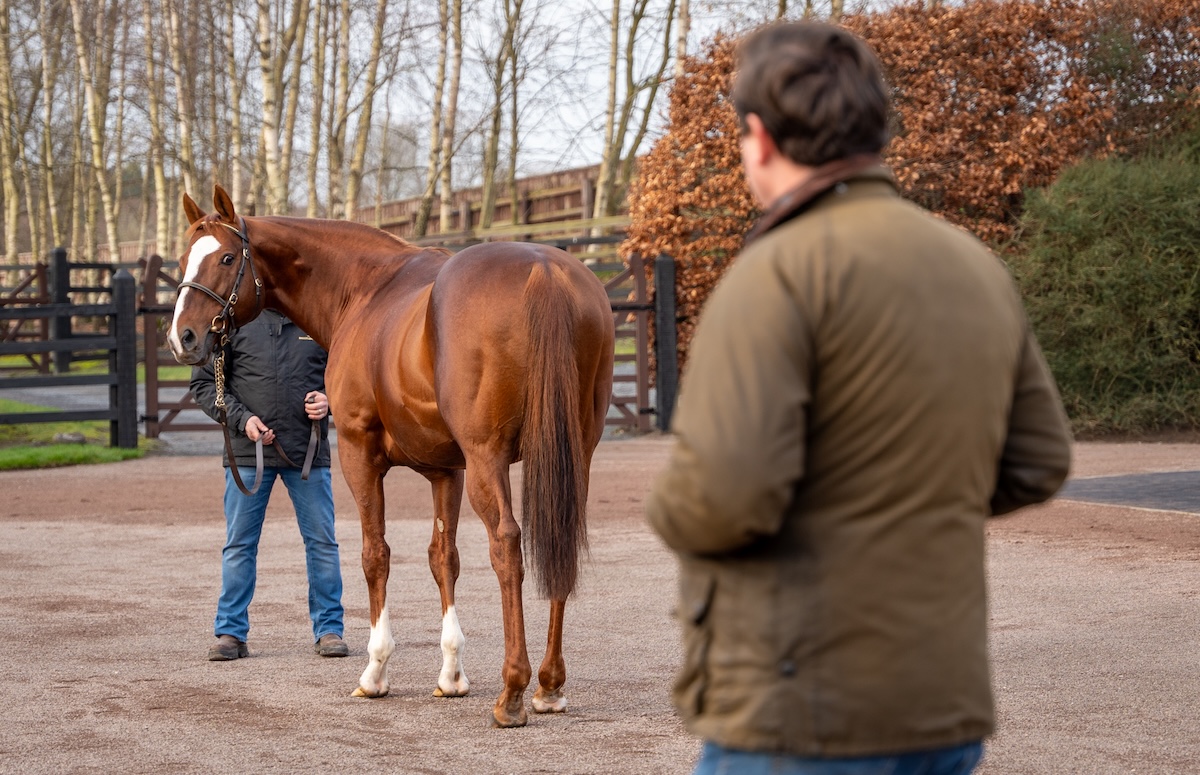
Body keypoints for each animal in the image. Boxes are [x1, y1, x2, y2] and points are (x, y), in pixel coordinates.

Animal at [168, 185, 615, 728]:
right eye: (183, 261)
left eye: (228, 258)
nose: (183, 337)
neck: (365, 290)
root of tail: (542, 269)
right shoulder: (447, 470)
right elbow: (443, 558)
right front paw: (451, 675)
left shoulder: (359, 453)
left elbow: (374, 555)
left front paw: (375, 671)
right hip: (573, 454)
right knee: (558, 542)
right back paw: (549, 685)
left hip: (488, 458)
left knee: (507, 546)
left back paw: (512, 690)